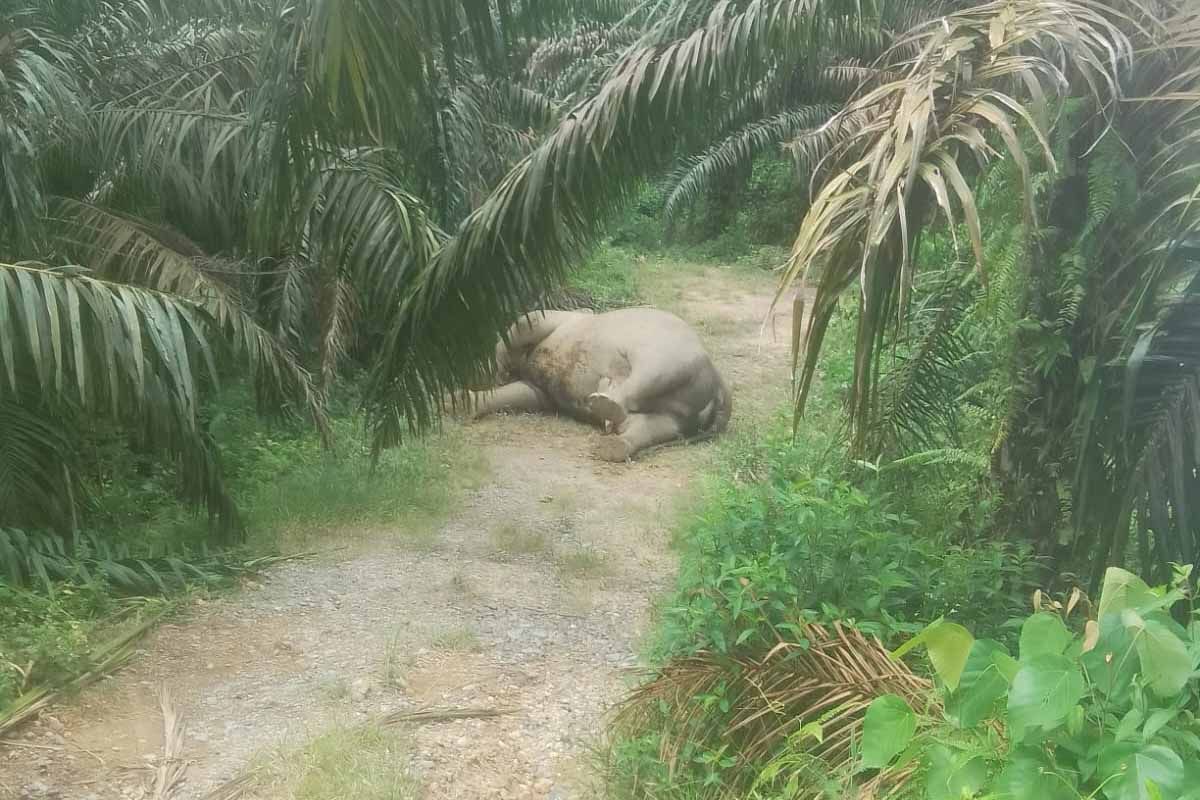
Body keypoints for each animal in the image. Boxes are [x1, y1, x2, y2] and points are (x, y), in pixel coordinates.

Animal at [462, 307, 733, 462]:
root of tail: (720, 386)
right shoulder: (540, 387)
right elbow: (525, 393)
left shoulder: (555, 321)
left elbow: (526, 322)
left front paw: (491, 371)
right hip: (685, 413)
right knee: (654, 425)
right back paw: (611, 442)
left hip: (672, 354)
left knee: (648, 374)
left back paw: (603, 402)